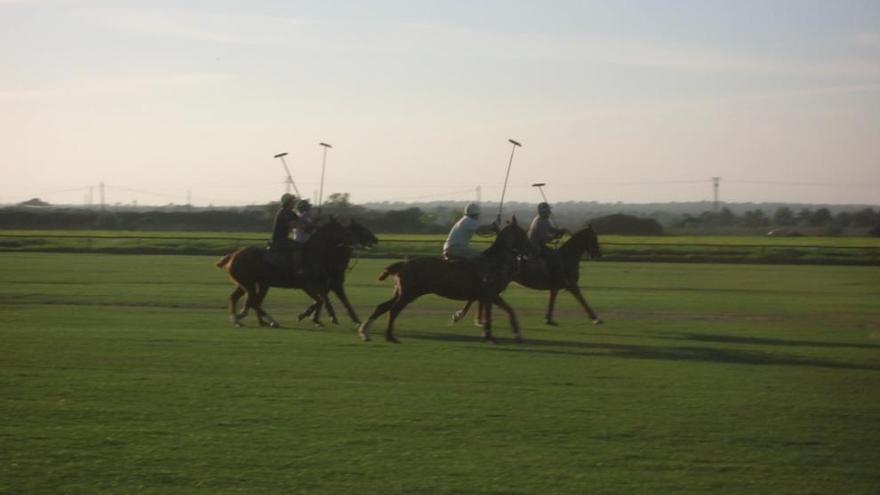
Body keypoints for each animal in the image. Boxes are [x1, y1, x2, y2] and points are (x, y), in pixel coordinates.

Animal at [217, 218, 358, 330]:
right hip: (249, 284)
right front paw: (310, 316)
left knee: (240, 299)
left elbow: (322, 299)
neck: (314, 254)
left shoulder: (319, 285)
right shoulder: (308, 286)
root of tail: (231, 256)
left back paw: (245, 320)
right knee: (252, 302)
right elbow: (320, 300)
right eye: (339, 228)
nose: (352, 238)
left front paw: (324, 317)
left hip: (249, 284)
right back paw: (253, 319)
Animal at [356, 219, 532, 346]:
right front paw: (491, 336)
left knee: (383, 307)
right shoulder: (490, 295)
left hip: (400, 292)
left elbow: (509, 311)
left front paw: (516, 335)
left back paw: (366, 332)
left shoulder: (489, 296)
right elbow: (495, 314)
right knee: (394, 310)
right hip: (409, 293)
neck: (496, 261)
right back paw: (389, 336)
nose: (530, 251)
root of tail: (403, 264)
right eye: (523, 232)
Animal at [454, 226, 604, 328]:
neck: (566, 257)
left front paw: (548, 319)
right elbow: (582, 299)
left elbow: (552, 301)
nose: (598, 255)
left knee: (479, 296)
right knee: (477, 296)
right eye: (594, 238)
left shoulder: (556, 287)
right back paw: (464, 316)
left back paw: (473, 318)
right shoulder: (571, 285)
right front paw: (595, 318)